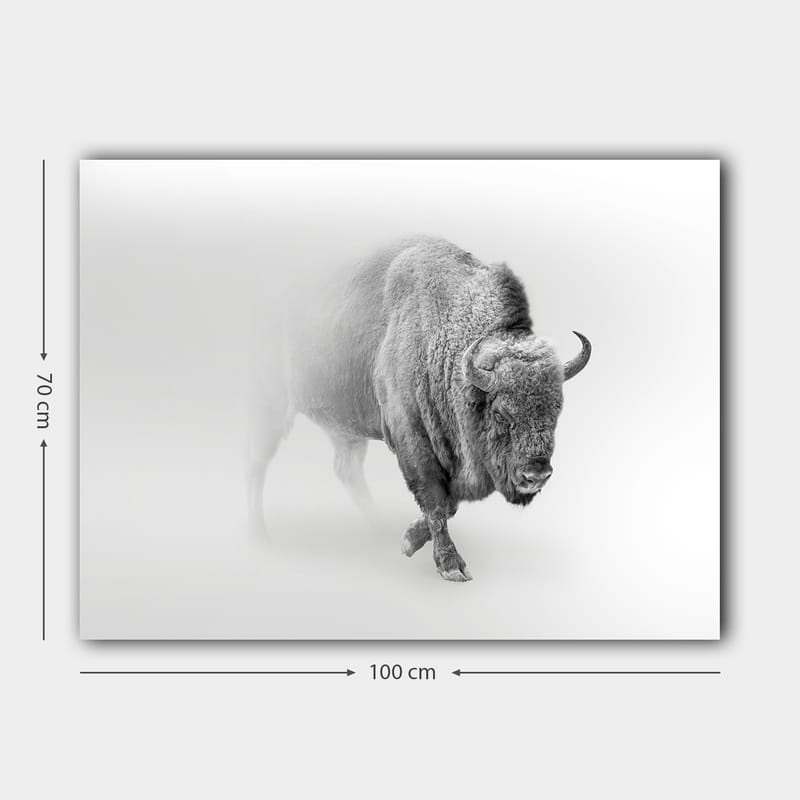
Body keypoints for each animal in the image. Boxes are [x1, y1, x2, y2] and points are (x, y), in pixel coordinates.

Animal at [248, 236, 591, 581]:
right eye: (500, 414)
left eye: (556, 410)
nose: (536, 474)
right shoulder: (411, 438)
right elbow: (435, 500)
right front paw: (451, 566)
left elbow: (449, 503)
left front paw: (408, 540)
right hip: (271, 405)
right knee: (257, 464)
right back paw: (260, 537)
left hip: (344, 428)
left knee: (346, 469)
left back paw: (378, 531)